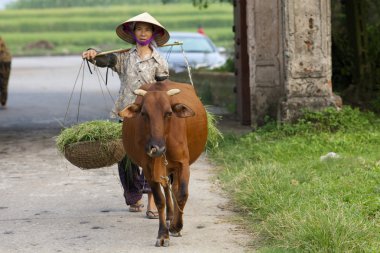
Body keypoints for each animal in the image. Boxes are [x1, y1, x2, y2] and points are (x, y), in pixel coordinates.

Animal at [119, 79, 208, 247]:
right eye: (144, 113)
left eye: (168, 113)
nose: (157, 148)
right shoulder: (149, 168)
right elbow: (160, 200)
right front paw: (163, 234)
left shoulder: (183, 164)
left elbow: (182, 194)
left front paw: (176, 226)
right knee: (167, 189)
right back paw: (170, 216)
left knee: (175, 189)